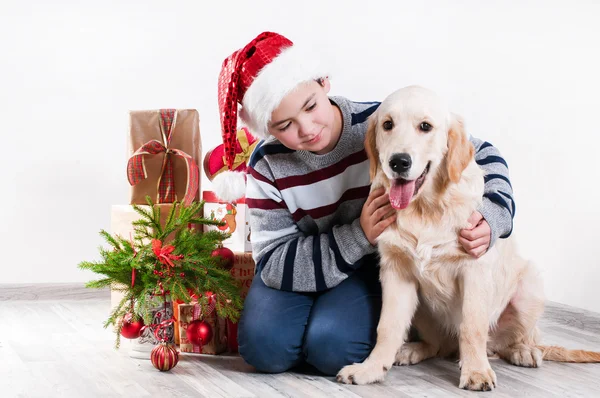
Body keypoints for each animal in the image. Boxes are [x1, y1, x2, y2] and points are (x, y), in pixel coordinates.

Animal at [338, 85, 600, 390]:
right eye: (387, 125)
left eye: (425, 126)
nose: (398, 162)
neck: (425, 209)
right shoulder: (396, 271)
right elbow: (388, 326)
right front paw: (370, 369)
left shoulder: (474, 268)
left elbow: (472, 326)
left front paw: (476, 372)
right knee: (439, 345)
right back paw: (413, 349)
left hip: (529, 287)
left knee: (508, 341)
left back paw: (523, 351)